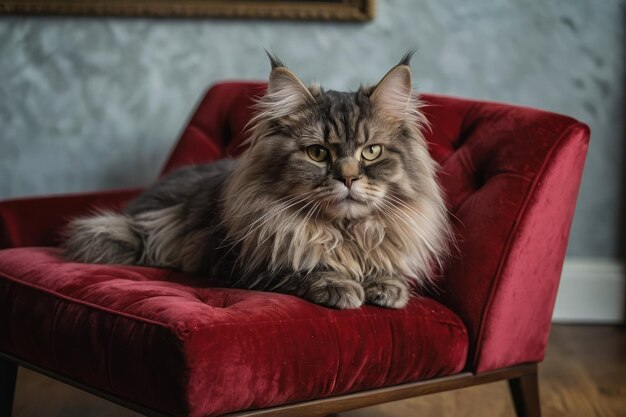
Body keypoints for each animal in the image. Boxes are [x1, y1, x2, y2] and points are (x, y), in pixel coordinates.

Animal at [63, 52, 450, 308]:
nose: (348, 178)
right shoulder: (240, 264)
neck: (343, 231)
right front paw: (341, 285)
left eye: (371, 152)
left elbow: (383, 264)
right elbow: (303, 266)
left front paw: (386, 285)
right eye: (318, 153)